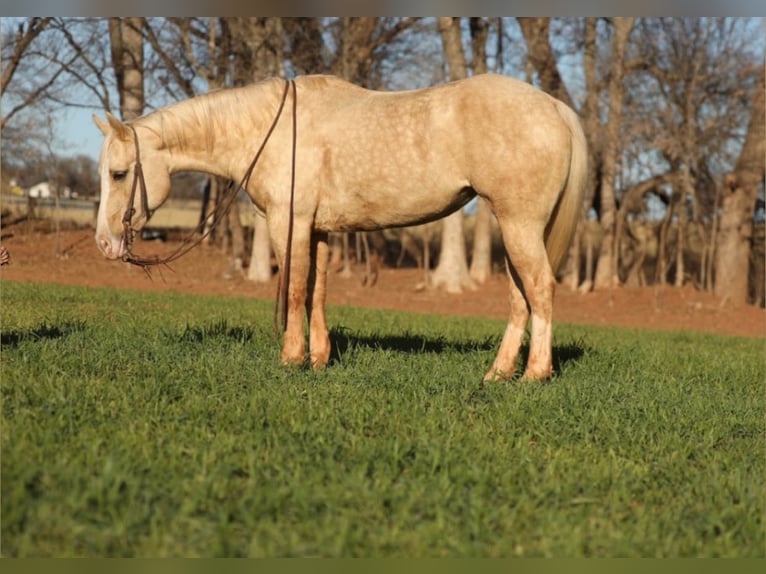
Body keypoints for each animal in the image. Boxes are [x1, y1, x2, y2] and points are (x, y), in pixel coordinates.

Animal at [93, 73, 587, 381]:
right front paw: (318, 359)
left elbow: (294, 287)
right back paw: (498, 373)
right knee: (520, 296)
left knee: (539, 288)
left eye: (118, 174)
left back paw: (534, 374)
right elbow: (317, 291)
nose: (105, 243)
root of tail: (554, 107)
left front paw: (290, 359)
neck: (270, 131)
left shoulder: (289, 224)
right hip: (518, 229)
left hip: (519, 224)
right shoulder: (319, 230)